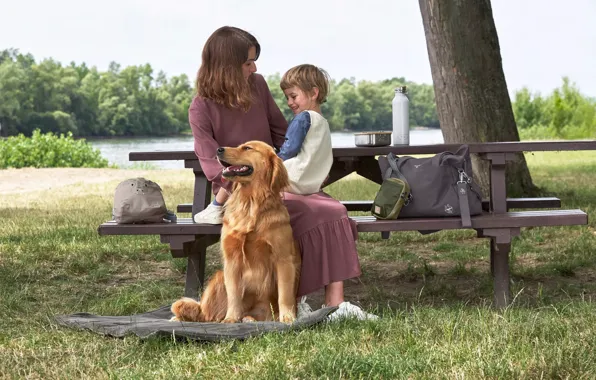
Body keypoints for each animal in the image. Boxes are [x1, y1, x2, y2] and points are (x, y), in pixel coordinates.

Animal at [172, 140, 302, 324]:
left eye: (247, 148)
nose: (218, 149)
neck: (250, 202)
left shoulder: (283, 259)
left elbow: (284, 294)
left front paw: (287, 317)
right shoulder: (232, 259)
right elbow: (234, 295)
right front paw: (231, 319)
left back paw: (252, 318)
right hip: (219, 278)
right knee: (205, 315)